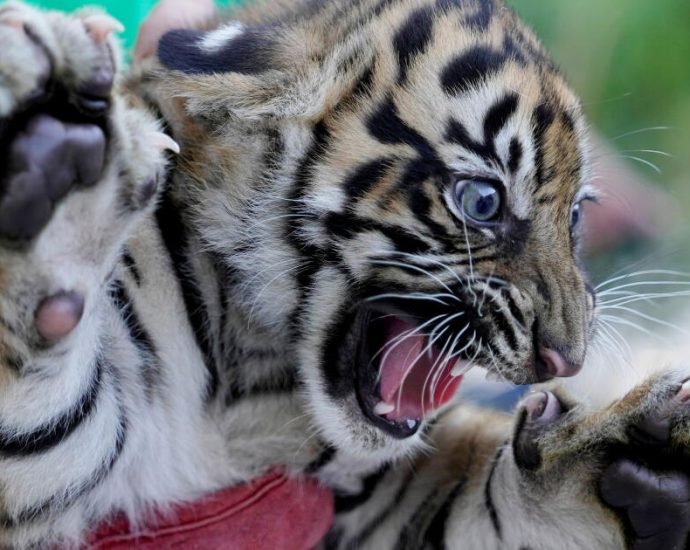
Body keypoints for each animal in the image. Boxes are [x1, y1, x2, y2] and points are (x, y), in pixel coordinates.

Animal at [0, 0, 689, 548]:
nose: (567, 360)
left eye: (574, 215)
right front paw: (53, 143)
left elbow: (488, 509)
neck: (249, 380)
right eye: (482, 202)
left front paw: (637, 463)